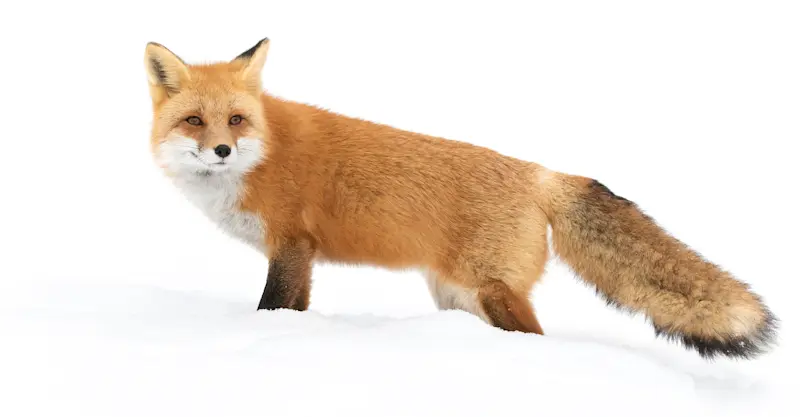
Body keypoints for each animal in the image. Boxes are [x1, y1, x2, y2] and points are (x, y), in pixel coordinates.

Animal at [144, 38, 777, 360]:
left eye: (235, 120)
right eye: (195, 121)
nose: (221, 150)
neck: (263, 154)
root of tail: (542, 174)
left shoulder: (293, 243)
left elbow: (274, 307)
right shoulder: (299, 252)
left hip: (489, 289)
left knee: (536, 339)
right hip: (456, 295)